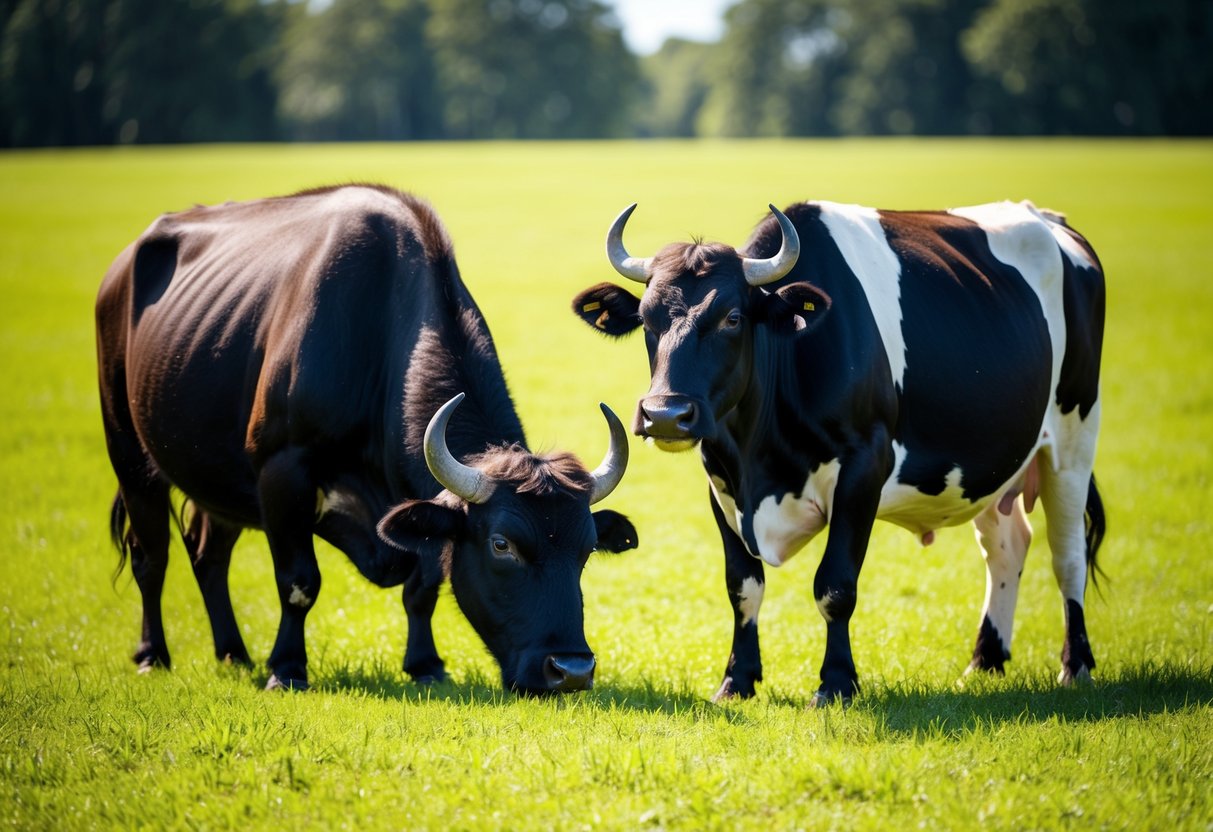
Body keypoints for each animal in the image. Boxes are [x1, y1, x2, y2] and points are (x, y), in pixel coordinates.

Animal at [96, 184, 638, 695]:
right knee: (151, 556)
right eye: (502, 545)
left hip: (217, 483)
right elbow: (298, 580)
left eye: (588, 548)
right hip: (129, 453)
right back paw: (153, 654)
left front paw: (425, 665)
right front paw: (286, 668)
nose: (570, 670)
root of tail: (120, 270)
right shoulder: (282, 471)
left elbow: (423, 587)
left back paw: (233, 653)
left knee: (208, 555)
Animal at [572, 199, 1106, 705]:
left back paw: (1075, 666)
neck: (761, 457)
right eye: (647, 320)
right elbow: (742, 586)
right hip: (993, 464)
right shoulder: (720, 478)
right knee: (1007, 547)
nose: (665, 414)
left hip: (1074, 439)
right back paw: (984, 664)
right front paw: (736, 682)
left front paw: (835, 684)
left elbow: (835, 585)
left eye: (732, 318)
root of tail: (1051, 221)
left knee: (1068, 556)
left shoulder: (864, 467)